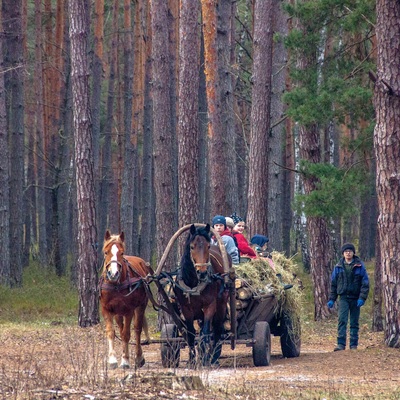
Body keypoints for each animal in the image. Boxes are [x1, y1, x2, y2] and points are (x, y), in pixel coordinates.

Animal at [99, 231, 152, 368]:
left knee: (137, 329)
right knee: (121, 327)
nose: (113, 274)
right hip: (118, 313)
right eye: (105, 252)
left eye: (121, 253)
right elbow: (111, 332)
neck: (115, 285)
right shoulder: (106, 310)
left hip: (140, 306)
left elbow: (126, 334)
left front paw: (125, 360)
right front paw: (112, 360)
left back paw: (139, 357)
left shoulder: (129, 311)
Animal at [174, 223, 228, 368]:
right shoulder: (186, 309)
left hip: (221, 304)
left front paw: (205, 360)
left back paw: (213, 358)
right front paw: (192, 360)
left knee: (217, 330)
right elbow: (191, 333)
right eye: (192, 247)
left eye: (208, 246)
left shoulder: (210, 306)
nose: (202, 272)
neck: (194, 282)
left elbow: (205, 333)